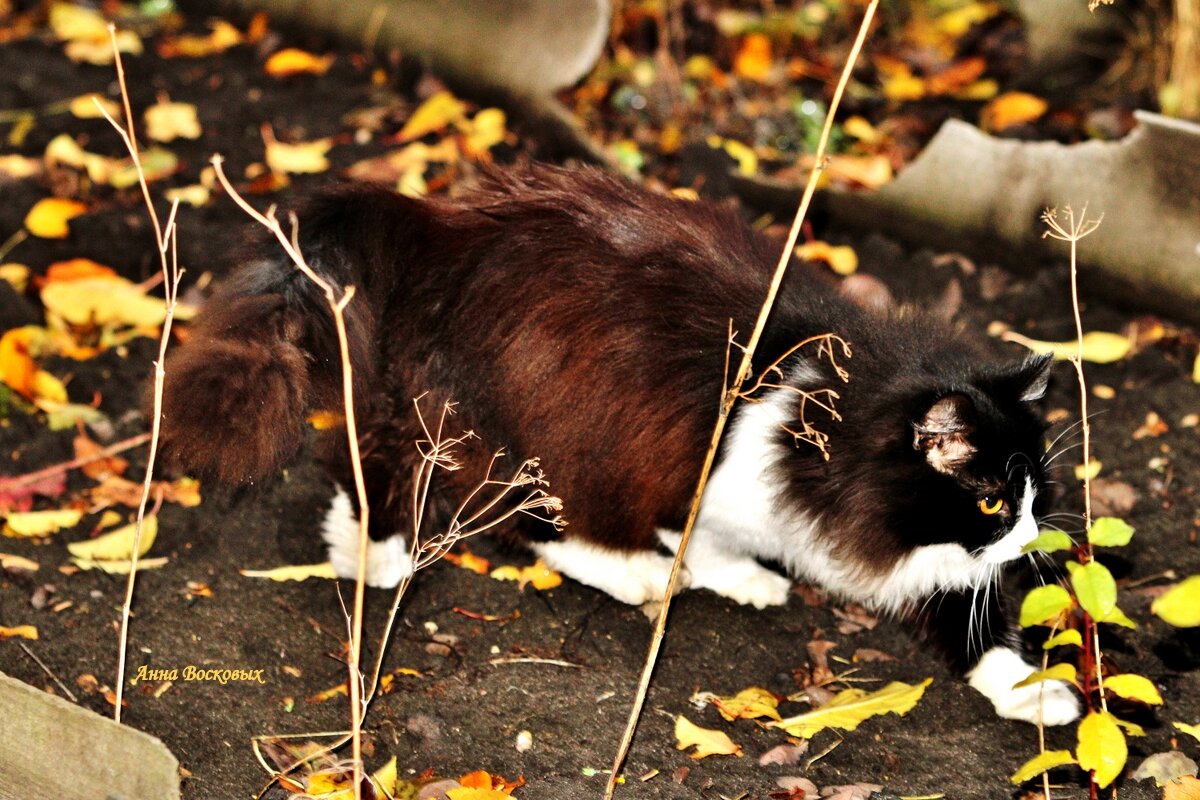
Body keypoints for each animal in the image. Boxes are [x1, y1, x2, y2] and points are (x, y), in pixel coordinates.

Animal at [157, 165, 1080, 729]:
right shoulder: (698, 470)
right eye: (992, 500)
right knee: (498, 510)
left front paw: (1035, 695)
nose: (1031, 540)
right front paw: (737, 575)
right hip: (525, 425)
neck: (835, 426)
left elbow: (971, 622)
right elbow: (698, 537)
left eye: (1036, 494)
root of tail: (442, 222)